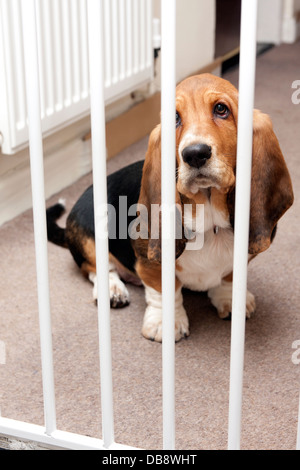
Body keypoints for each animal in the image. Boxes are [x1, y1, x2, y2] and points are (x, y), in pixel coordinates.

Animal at [47, 75, 292, 344]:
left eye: (221, 109)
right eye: (174, 117)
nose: (194, 154)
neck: (210, 223)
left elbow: (228, 276)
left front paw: (230, 300)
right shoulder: (152, 265)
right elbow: (164, 290)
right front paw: (164, 323)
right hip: (91, 237)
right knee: (96, 268)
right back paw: (112, 290)